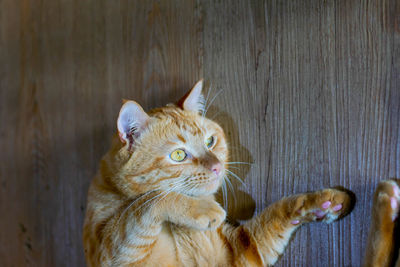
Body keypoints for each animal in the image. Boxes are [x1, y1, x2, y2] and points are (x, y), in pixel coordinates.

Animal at [81, 80, 354, 266]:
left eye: (210, 141)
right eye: (178, 155)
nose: (217, 166)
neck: (179, 229)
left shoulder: (239, 251)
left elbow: (278, 212)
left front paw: (322, 203)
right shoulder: (110, 251)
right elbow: (147, 203)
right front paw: (203, 209)